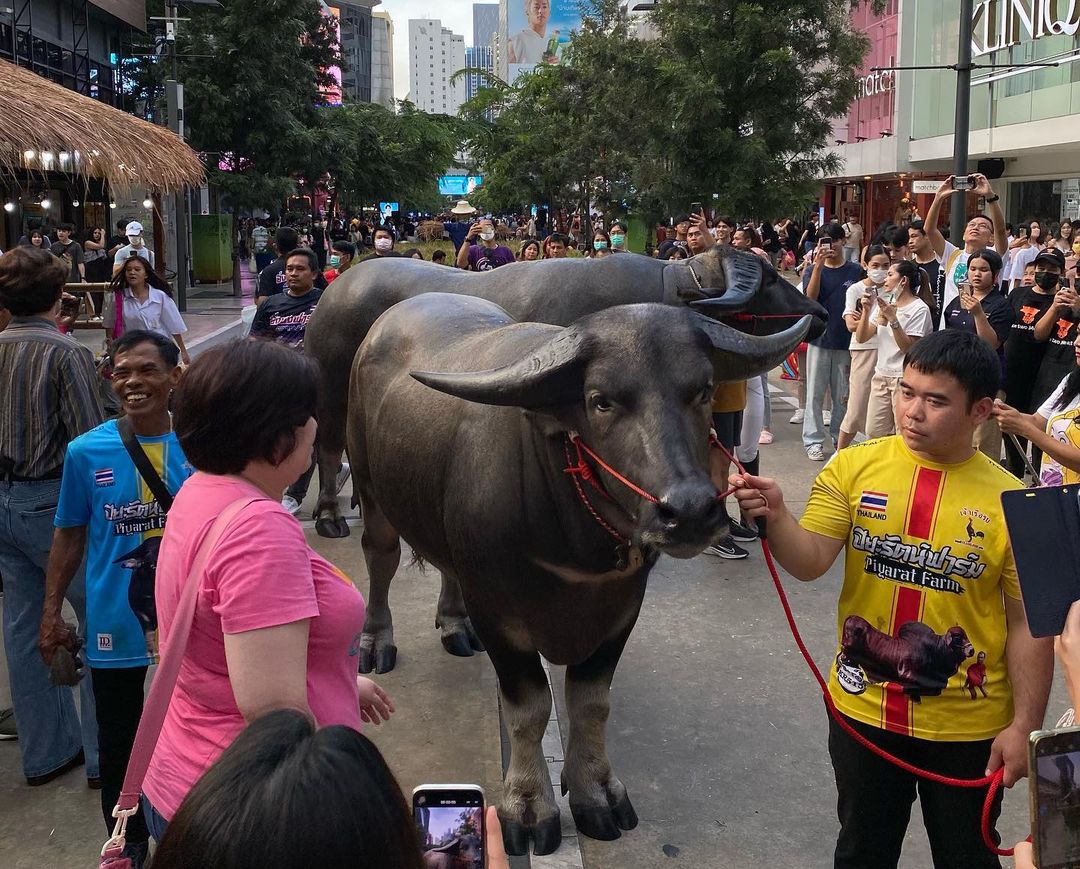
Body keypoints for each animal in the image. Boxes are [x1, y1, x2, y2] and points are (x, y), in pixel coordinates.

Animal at [345, 293, 812, 854]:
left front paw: (597, 792)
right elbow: (529, 707)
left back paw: (455, 626)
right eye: (601, 400)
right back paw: (376, 639)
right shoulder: (497, 612)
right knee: (381, 555)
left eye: (702, 390)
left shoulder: (621, 609)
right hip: (369, 486)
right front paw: (529, 806)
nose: (690, 511)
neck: (572, 538)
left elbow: (591, 703)